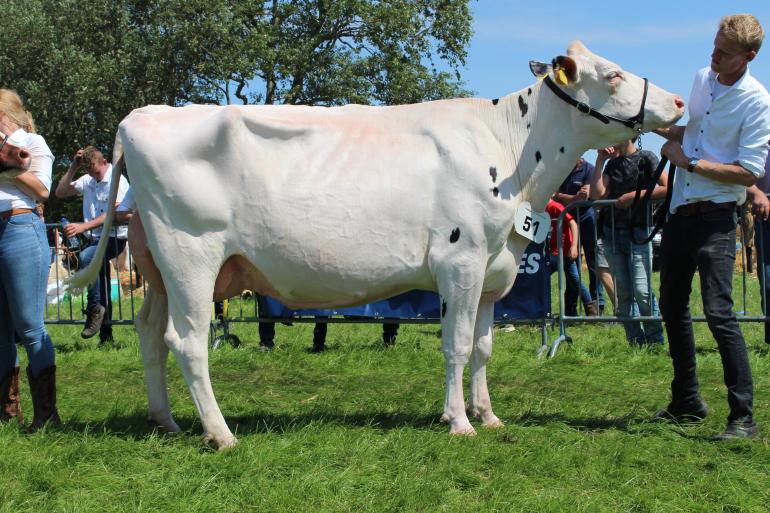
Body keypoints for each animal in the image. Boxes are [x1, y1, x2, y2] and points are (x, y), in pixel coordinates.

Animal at [69, 41, 680, 448]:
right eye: (613, 74)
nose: (676, 102)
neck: (513, 155)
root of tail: (141, 117)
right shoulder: (460, 262)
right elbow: (457, 346)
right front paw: (459, 422)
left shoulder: (491, 272)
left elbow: (483, 348)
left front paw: (488, 415)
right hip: (190, 256)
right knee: (188, 340)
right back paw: (219, 434)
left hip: (155, 265)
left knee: (149, 331)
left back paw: (166, 419)